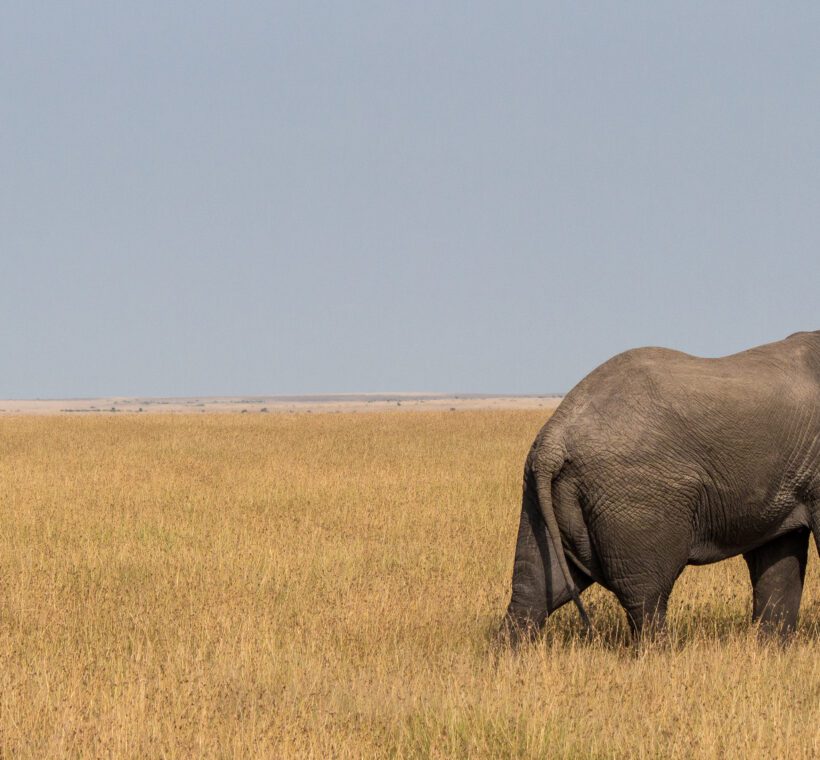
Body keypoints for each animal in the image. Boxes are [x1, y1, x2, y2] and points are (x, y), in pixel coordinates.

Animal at [502, 330, 816, 644]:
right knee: (646, 596)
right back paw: (662, 652)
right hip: (636, 498)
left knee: (536, 589)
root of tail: (554, 438)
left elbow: (777, 557)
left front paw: (771, 647)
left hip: (542, 496)